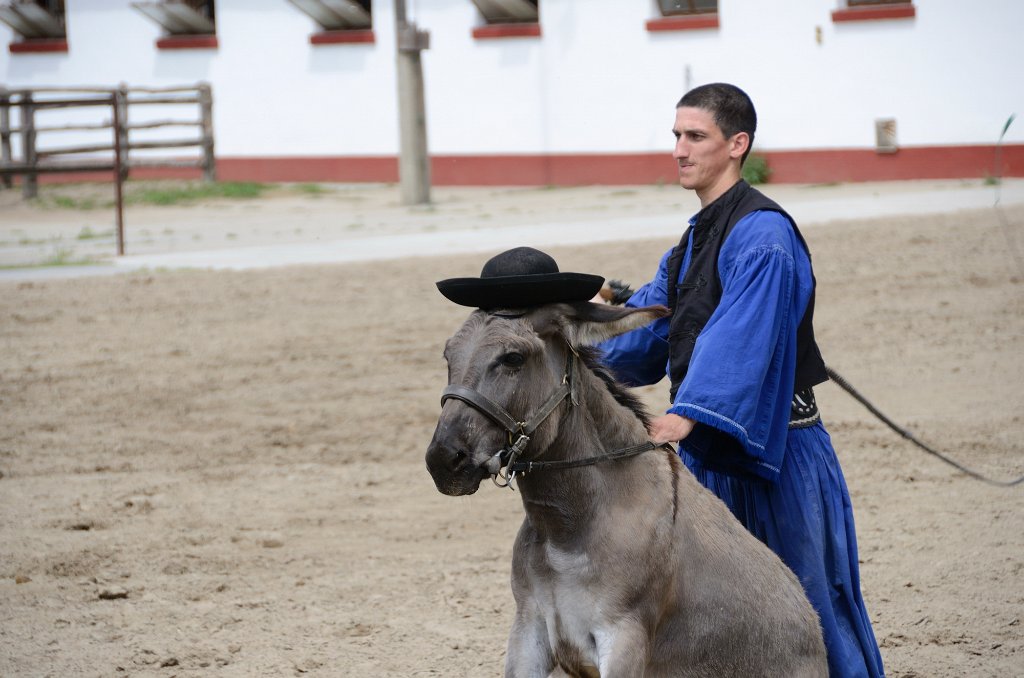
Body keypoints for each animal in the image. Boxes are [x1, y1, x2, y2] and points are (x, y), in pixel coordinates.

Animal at [425, 301, 828, 677]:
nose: (443, 459)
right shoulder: (529, 630)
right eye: (448, 355)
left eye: (513, 358)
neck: (571, 529)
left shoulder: (623, 638)